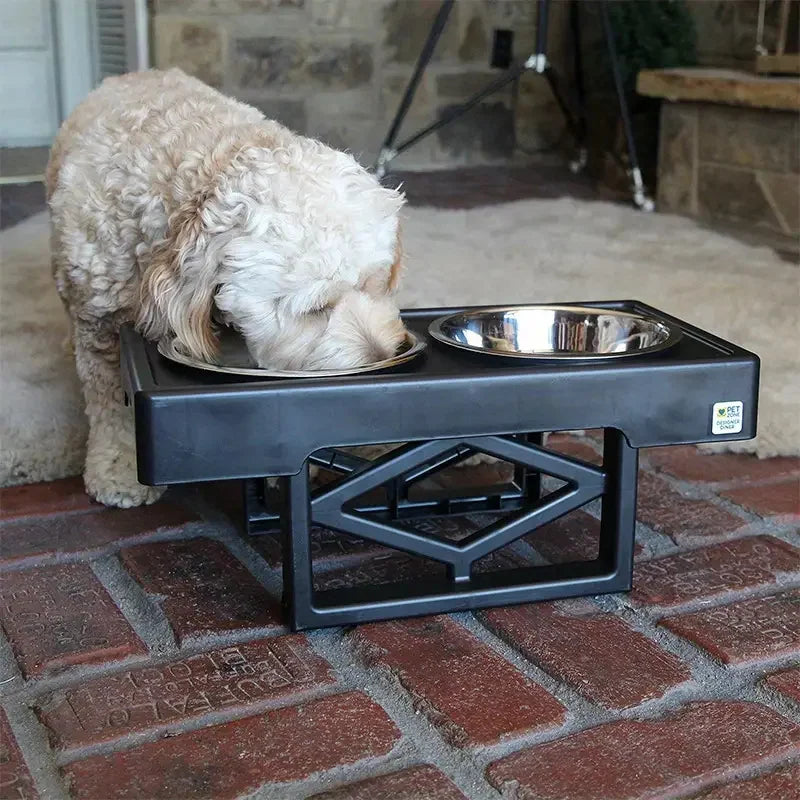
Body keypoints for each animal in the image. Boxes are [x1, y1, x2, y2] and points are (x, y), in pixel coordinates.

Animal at [47, 69, 406, 506]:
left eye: (376, 284)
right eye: (314, 309)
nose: (381, 355)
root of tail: (132, 73)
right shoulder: (101, 322)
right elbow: (111, 400)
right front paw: (120, 469)